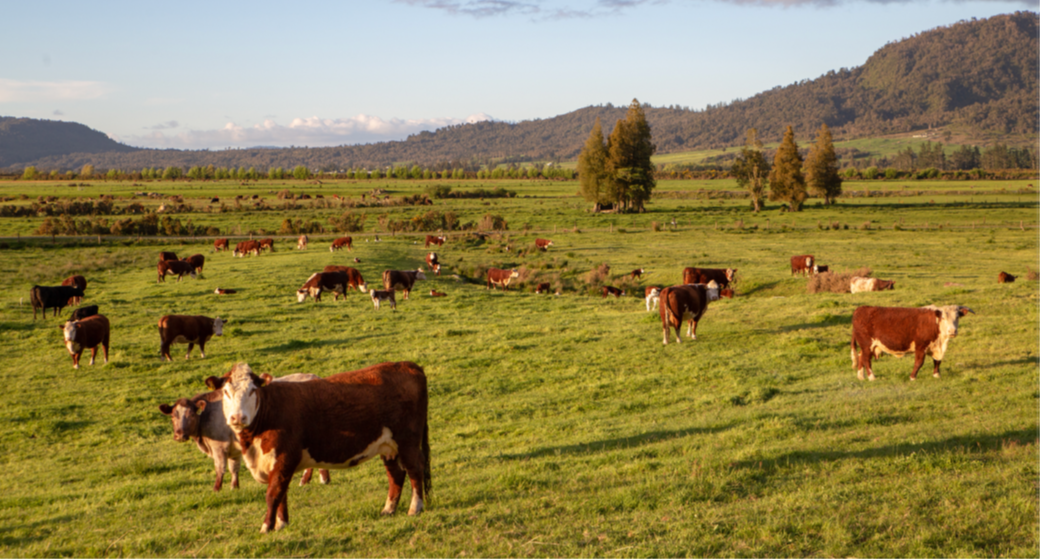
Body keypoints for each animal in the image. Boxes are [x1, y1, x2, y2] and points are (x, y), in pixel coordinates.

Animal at [158, 371, 330, 490]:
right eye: (173, 415)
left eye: (192, 414)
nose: (180, 435)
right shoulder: (234, 450)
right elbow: (234, 469)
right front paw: (234, 487)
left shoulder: (219, 447)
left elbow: (220, 468)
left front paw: (216, 489)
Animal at [206, 361, 430, 529]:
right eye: (226, 392)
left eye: (252, 391)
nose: (238, 417)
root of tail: (407, 365)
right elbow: (282, 494)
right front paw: (281, 525)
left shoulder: (285, 458)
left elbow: (273, 494)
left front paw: (266, 528)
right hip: (388, 446)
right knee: (396, 474)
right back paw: (388, 510)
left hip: (407, 441)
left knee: (415, 470)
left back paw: (415, 508)